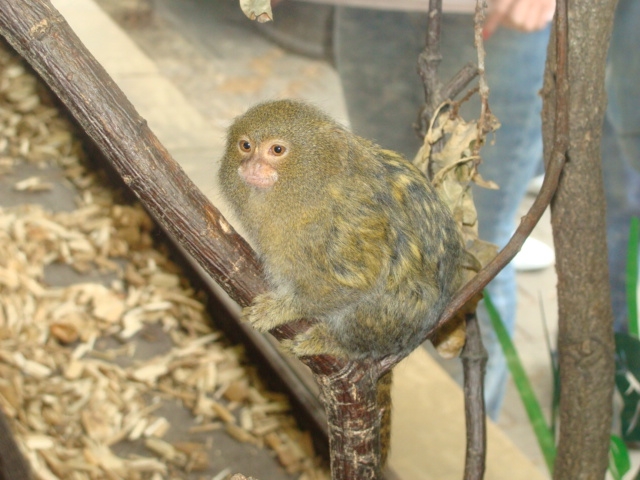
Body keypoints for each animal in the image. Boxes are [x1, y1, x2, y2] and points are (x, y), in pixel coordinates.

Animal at [218, 99, 465, 464]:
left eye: (277, 150)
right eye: (245, 146)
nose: (252, 165)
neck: (315, 189)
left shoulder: (355, 220)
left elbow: (359, 280)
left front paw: (285, 308)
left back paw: (334, 341)